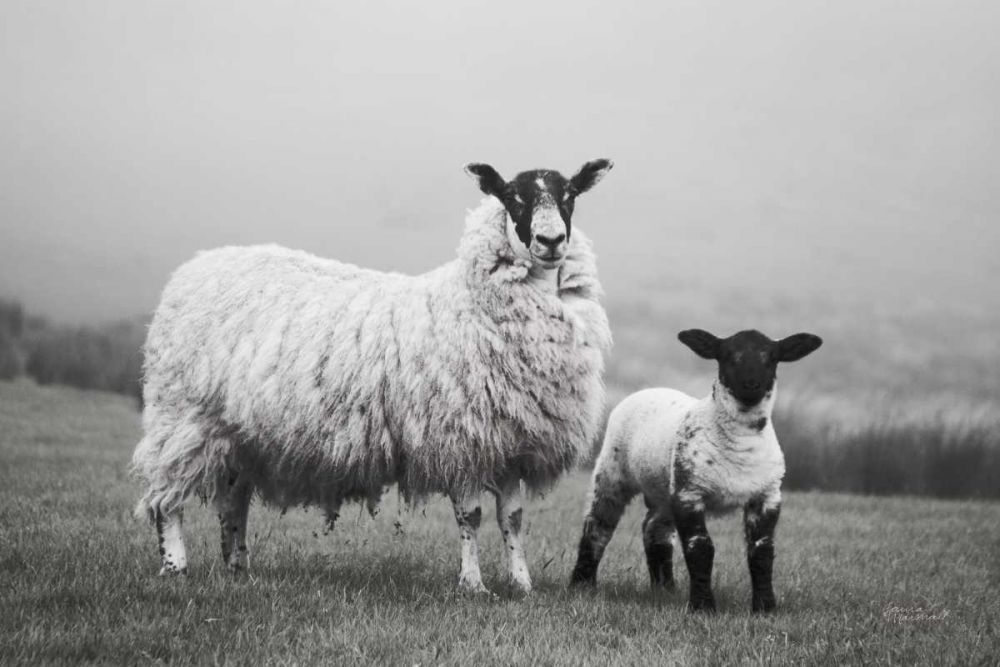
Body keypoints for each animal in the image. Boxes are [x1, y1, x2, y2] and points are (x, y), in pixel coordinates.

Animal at [132, 160, 614, 595]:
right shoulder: (460, 438)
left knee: (233, 500)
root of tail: (194, 268)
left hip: (240, 433)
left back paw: (237, 566)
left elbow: (511, 518)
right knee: (166, 498)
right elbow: (471, 517)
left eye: (570, 195)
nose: (551, 241)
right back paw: (175, 566)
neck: (469, 300)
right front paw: (473, 586)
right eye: (513, 197)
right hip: (182, 416)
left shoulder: (512, 443)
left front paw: (522, 585)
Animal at [569, 328, 822, 612]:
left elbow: (762, 551)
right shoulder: (690, 493)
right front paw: (703, 606)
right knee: (598, 527)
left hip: (664, 490)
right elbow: (700, 548)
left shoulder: (767, 496)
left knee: (655, 528)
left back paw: (665, 588)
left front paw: (765, 608)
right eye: (727, 355)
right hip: (613, 473)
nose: (751, 385)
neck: (739, 443)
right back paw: (581, 585)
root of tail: (650, 389)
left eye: (771, 357)